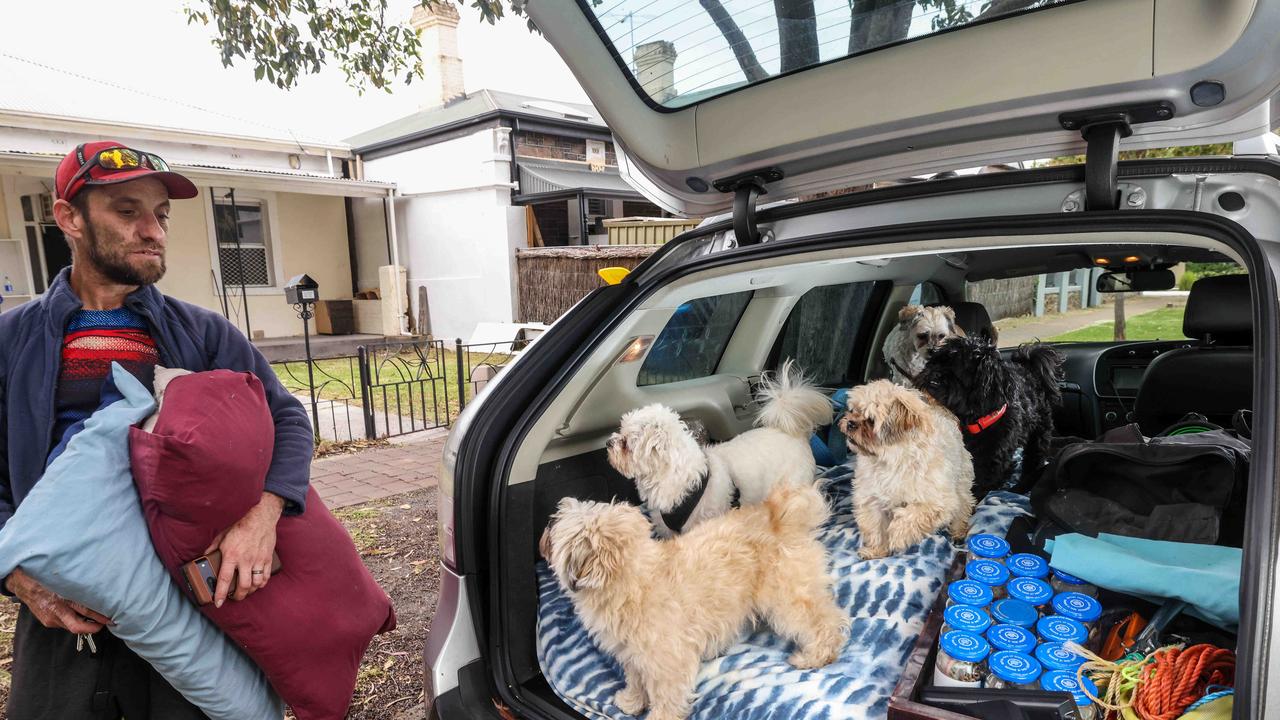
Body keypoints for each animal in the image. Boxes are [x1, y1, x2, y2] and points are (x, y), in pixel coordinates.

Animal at [540, 479, 849, 720]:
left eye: (557, 527)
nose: (545, 530)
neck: (632, 578)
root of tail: (776, 515)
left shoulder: (668, 663)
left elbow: (665, 698)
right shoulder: (634, 655)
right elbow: (636, 680)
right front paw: (632, 701)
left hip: (787, 597)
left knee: (825, 622)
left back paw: (814, 656)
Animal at [834, 379, 972, 558]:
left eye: (871, 420)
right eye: (854, 411)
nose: (850, 422)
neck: (892, 461)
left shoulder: (936, 503)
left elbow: (912, 517)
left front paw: (897, 537)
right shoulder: (872, 499)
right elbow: (876, 527)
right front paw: (876, 550)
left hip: (961, 482)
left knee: (963, 506)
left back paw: (958, 531)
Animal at [916, 338, 1064, 499]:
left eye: (958, 369)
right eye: (935, 362)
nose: (933, 373)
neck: (976, 421)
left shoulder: (992, 460)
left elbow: (982, 483)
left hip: (1039, 431)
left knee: (1035, 455)